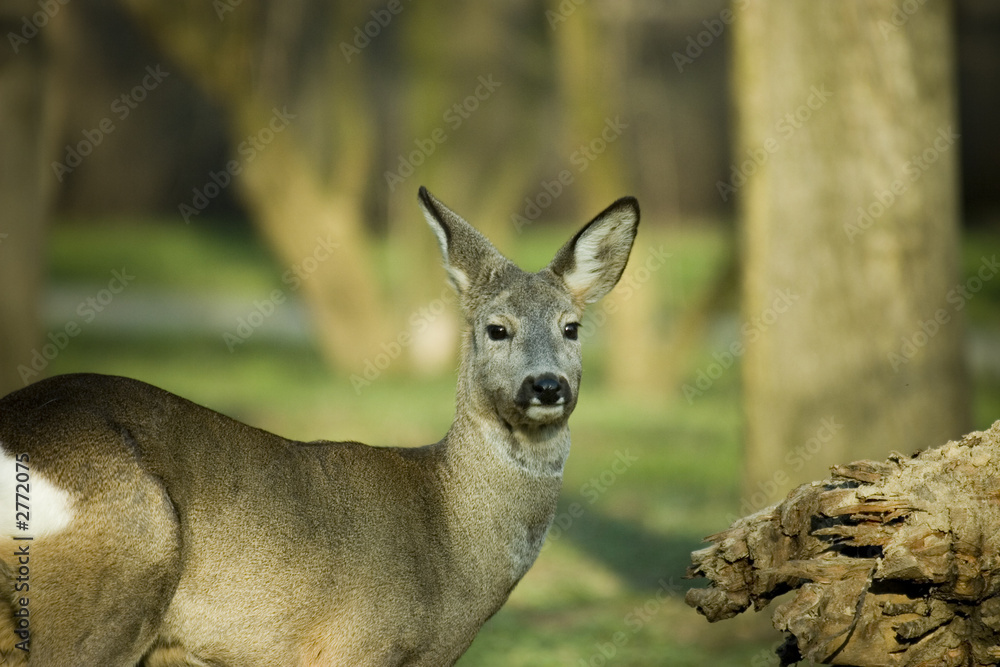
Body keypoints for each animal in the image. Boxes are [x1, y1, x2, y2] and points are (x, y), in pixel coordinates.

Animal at [0, 187, 639, 666]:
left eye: (572, 327)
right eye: (496, 328)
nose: (546, 386)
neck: (448, 537)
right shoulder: (352, 644)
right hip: (115, 582)